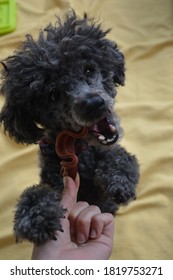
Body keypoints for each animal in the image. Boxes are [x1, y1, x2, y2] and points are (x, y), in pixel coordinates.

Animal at [0, 10, 139, 244]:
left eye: (89, 70)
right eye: (53, 95)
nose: (94, 104)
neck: (77, 150)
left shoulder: (110, 155)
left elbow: (122, 157)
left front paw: (120, 180)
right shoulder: (55, 180)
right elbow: (35, 193)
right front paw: (37, 218)